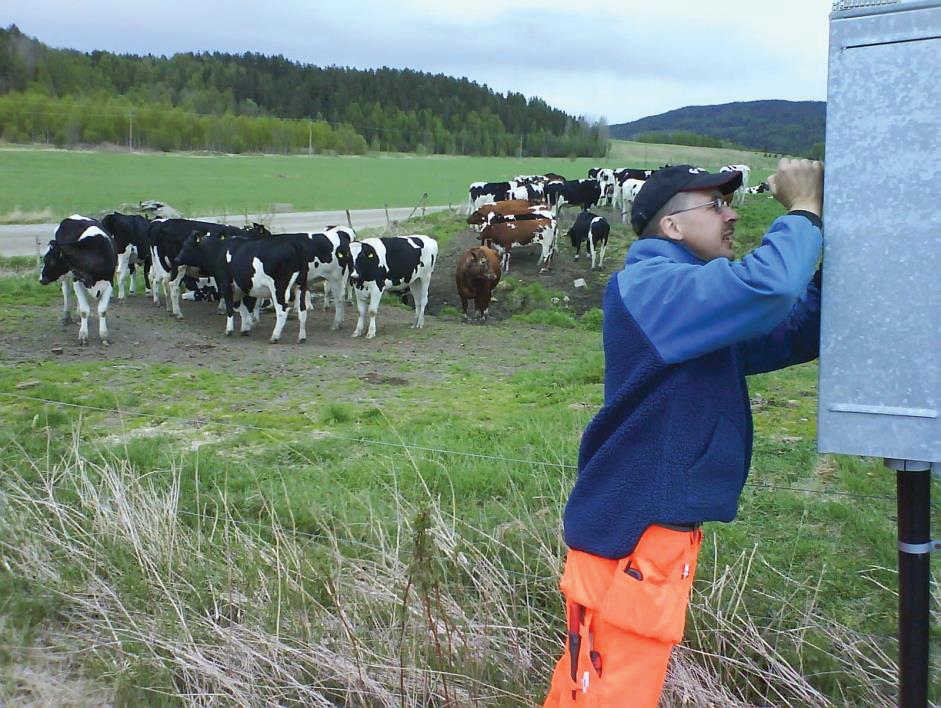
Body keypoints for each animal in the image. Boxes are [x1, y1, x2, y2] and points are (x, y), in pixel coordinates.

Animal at [40, 216, 117, 348]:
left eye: (50, 260)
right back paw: (67, 316)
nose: (41, 279)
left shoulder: (109, 283)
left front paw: (104, 336)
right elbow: (84, 310)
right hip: (66, 276)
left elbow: (102, 311)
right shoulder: (77, 281)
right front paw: (83, 336)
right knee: (66, 292)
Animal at [174, 230, 310, 342]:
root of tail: (293, 245)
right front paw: (245, 328)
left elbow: (230, 308)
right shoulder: (244, 287)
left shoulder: (226, 284)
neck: (220, 250)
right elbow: (244, 309)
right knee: (302, 310)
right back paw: (302, 337)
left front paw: (229, 330)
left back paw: (275, 336)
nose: (176, 259)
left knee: (282, 311)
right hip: (301, 285)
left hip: (278, 288)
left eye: (186, 245)